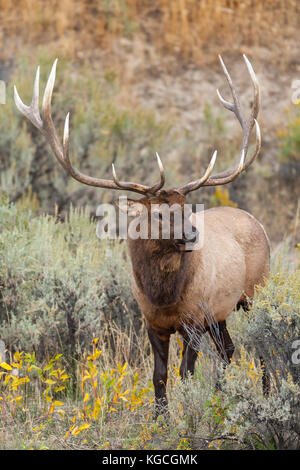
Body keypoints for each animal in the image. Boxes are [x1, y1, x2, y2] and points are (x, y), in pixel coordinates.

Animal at [14, 54, 270, 414]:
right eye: (160, 213)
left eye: (188, 207)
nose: (193, 235)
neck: (164, 297)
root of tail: (257, 222)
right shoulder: (152, 322)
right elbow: (159, 376)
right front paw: (161, 418)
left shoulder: (194, 318)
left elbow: (186, 374)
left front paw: (188, 413)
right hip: (221, 314)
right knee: (228, 350)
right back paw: (223, 397)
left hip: (256, 291)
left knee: (261, 350)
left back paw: (264, 398)